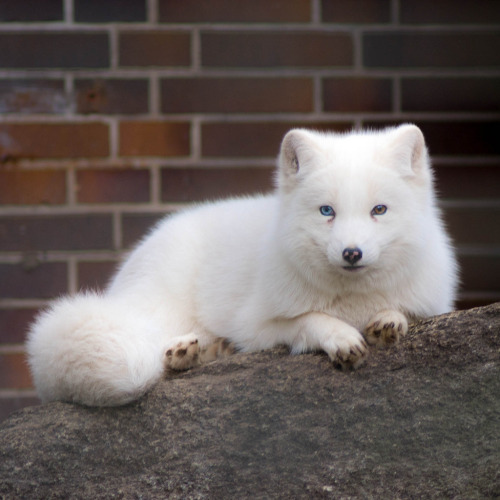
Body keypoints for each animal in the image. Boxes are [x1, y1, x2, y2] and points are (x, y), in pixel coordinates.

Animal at [27, 124, 458, 406]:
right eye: (327, 211)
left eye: (379, 210)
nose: (352, 253)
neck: (352, 301)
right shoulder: (255, 325)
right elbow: (307, 320)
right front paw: (338, 335)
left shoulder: (434, 306)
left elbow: (404, 312)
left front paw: (388, 320)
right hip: (155, 312)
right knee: (153, 351)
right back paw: (180, 353)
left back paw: (206, 352)